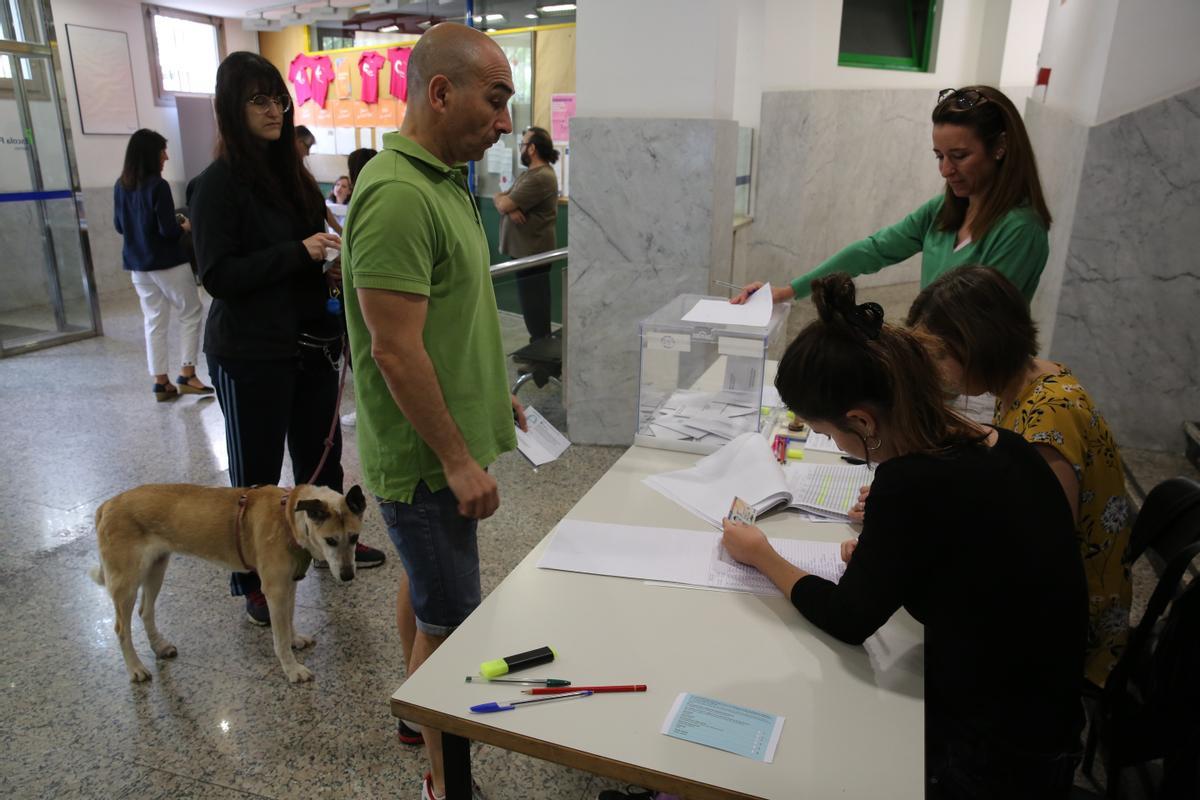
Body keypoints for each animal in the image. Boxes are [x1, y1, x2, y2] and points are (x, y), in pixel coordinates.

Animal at [90, 484, 364, 686]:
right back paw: (136, 668)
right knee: (122, 628)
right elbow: (280, 636)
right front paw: (292, 668)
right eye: (330, 540)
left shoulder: (290, 584)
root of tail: (107, 505)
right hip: (126, 582)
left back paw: (160, 646)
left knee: (145, 611)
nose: (348, 575)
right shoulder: (275, 589)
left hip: (156, 568)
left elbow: (289, 618)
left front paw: (294, 638)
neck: (288, 517)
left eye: (354, 537)